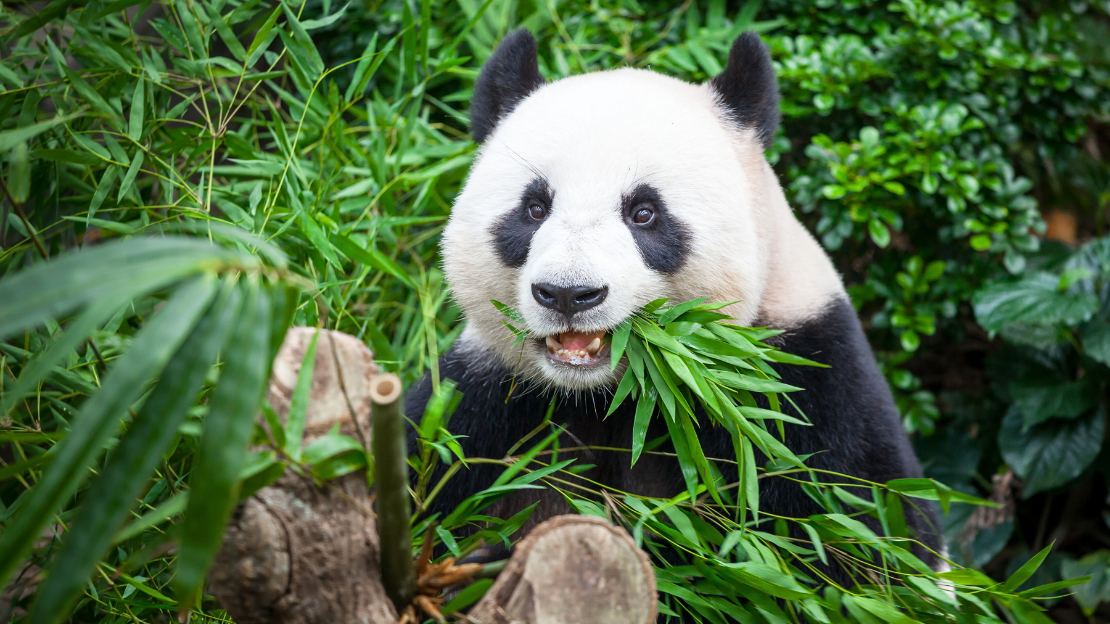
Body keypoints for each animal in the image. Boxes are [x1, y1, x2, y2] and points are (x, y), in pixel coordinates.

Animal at [407, 29, 943, 573]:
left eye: (644, 212)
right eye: (534, 208)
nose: (568, 293)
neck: (614, 394)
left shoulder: (802, 384)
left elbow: (852, 535)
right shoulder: (484, 400)